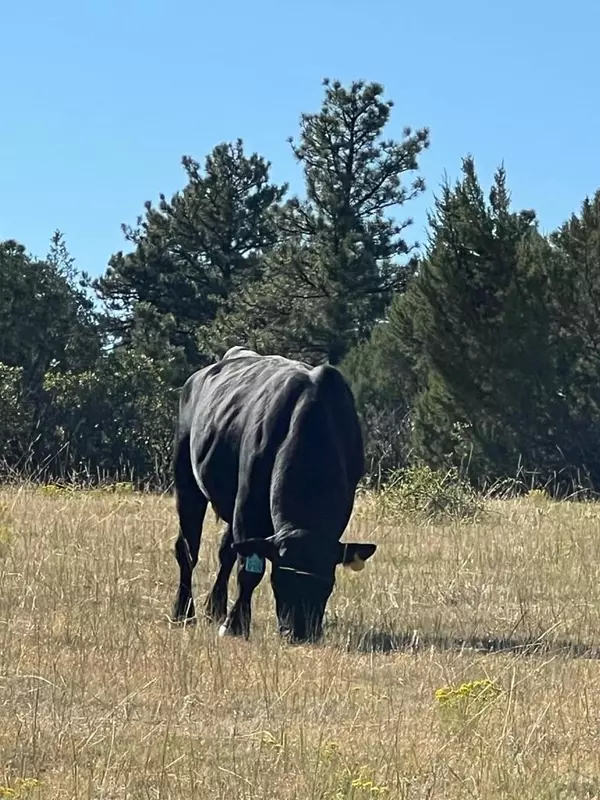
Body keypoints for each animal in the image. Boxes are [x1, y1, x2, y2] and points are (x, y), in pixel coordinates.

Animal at [170, 348, 376, 644]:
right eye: (280, 580)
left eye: (327, 583)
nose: (300, 632)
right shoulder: (247, 506)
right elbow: (248, 571)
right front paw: (236, 624)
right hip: (187, 483)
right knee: (187, 550)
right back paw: (184, 613)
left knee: (225, 552)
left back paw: (215, 609)